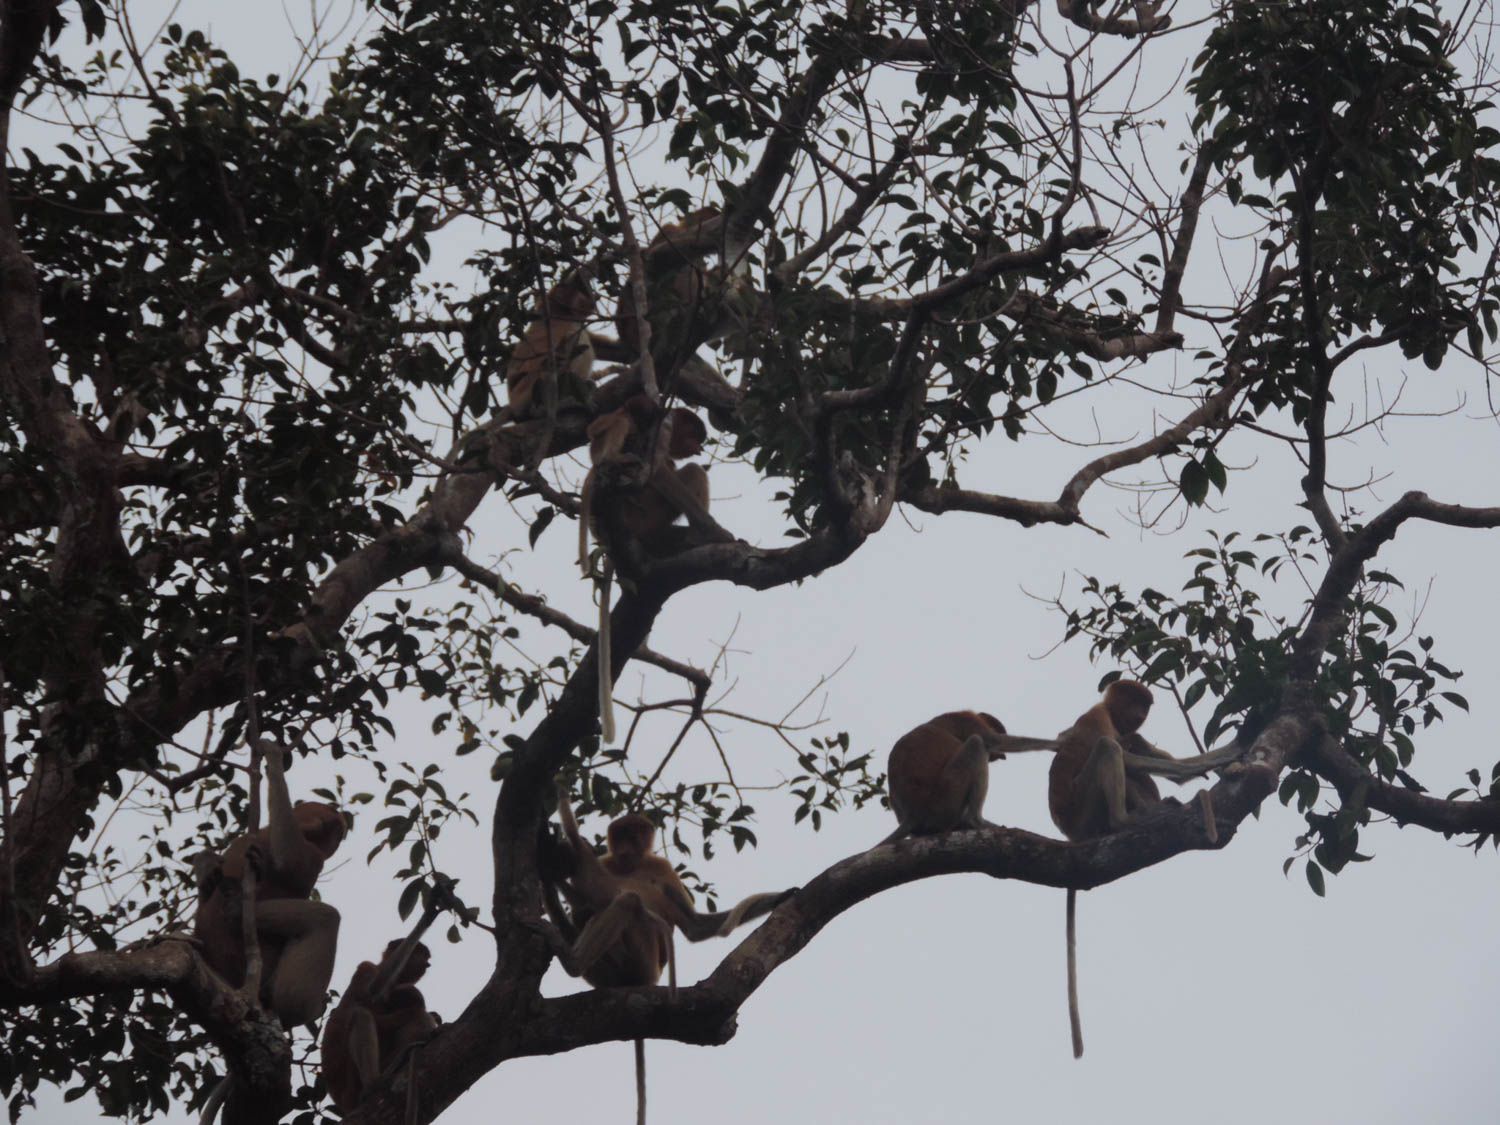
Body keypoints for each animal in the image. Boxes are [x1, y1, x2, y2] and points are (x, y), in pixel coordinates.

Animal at [544, 796, 795, 1125]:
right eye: (619, 835)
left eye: (634, 834)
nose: (625, 846)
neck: (631, 865)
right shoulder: (604, 863)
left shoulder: (661, 867)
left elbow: (695, 926)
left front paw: (783, 897)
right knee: (609, 909)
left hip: (645, 958)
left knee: (627, 904)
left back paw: (573, 957)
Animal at [877, 711, 1012, 845]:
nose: (1000, 755)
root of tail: (911, 815)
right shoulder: (967, 720)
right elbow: (993, 739)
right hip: (945, 797)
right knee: (975, 743)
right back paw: (976, 821)